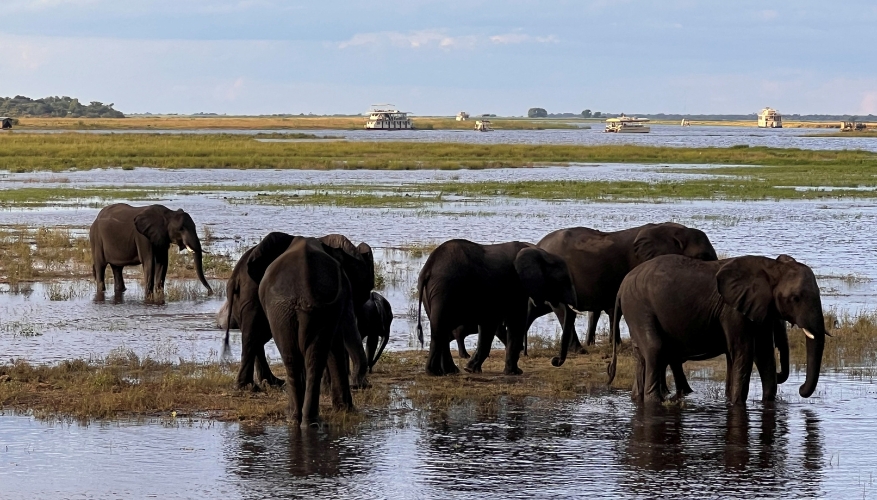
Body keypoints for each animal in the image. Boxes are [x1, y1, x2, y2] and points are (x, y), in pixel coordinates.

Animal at [221, 232, 375, 390]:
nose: (359, 384)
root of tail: (234, 278)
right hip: (251, 294)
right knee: (254, 334)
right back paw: (251, 387)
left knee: (256, 335)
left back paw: (267, 383)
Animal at [255, 235, 374, 426]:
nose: (361, 384)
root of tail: (304, 289)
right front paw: (345, 409)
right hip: (287, 310)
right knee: (300, 358)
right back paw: (301, 419)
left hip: (293, 309)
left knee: (302, 358)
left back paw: (302, 419)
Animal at [416, 239, 577, 376]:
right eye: (563, 280)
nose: (555, 361)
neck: (540, 252)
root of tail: (428, 267)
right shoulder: (515, 285)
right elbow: (514, 322)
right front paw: (515, 372)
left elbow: (488, 325)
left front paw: (471, 369)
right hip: (445, 289)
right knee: (440, 329)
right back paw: (434, 372)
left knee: (441, 328)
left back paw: (450, 371)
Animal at [534, 223, 718, 371]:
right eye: (703, 257)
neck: (675, 232)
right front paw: (619, 345)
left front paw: (616, 344)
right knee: (562, 310)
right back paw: (580, 350)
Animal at [609, 254, 826, 405]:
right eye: (795, 298)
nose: (800, 389)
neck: (771, 268)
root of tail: (621, 287)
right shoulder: (733, 310)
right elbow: (743, 352)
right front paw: (736, 403)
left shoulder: (760, 308)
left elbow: (764, 354)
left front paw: (766, 403)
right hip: (638, 306)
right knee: (655, 348)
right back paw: (656, 401)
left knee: (642, 355)